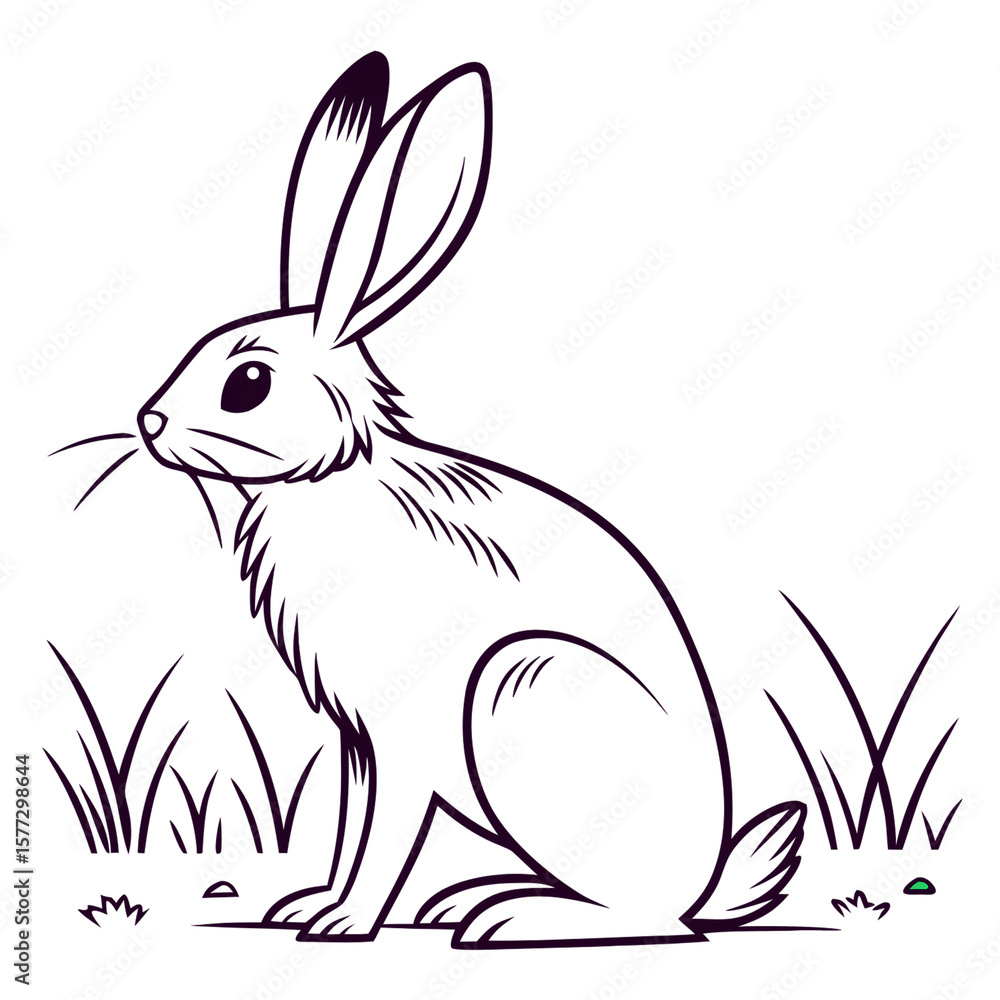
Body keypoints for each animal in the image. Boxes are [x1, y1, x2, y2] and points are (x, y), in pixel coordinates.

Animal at [134, 52, 805, 947]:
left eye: (247, 382)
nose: (147, 420)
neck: (332, 481)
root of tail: (702, 881)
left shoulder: (405, 731)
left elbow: (385, 832)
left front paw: (344, 922)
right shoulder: (356, 741)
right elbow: (351, 822)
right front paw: (310, 905)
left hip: (516, 688)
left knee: (646, 916)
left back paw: (512, 917)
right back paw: (467, 899)